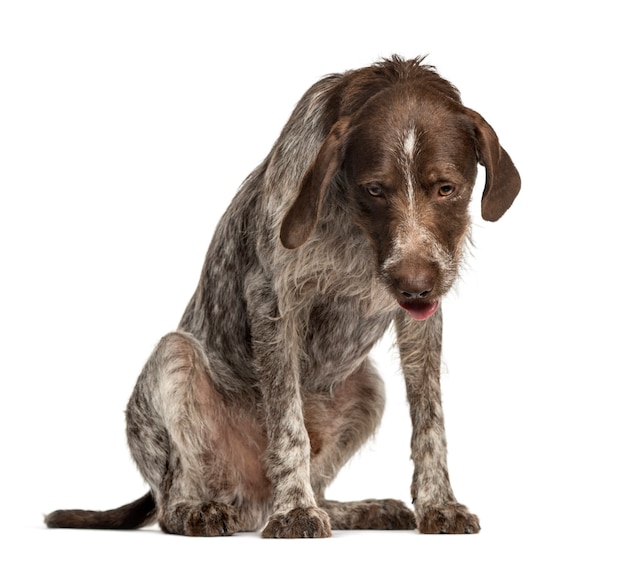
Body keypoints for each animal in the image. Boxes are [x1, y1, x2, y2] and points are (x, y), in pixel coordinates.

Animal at [46, 54, 520, 536]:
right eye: (375, 189)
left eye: (446, 188)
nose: (415, 286)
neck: (356, 233)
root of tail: (249, 502)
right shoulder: (273, 302)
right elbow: (290, 425)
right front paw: (293, 510)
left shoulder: (421, 320)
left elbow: (430, 422)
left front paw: (439, 503)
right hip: (175, 361)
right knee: (172, 497)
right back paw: (201, 511)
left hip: (369, 387)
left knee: (320, 484)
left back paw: (355, 509)